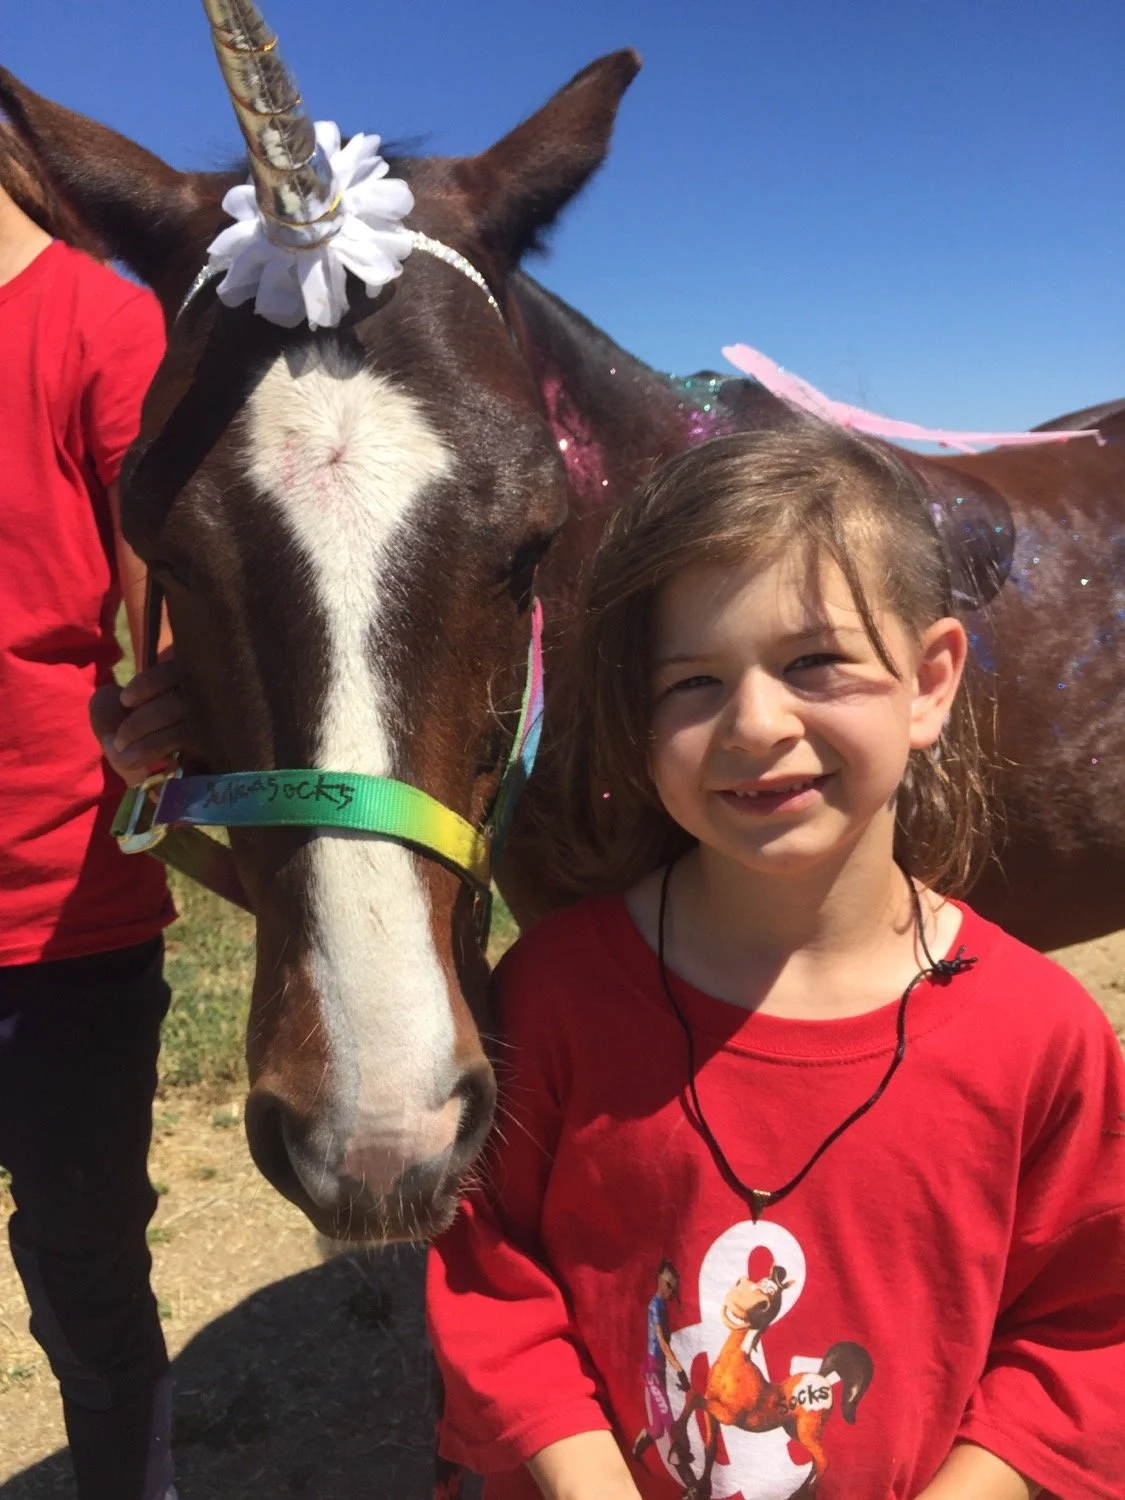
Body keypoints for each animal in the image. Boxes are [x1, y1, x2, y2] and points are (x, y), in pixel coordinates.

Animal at [664, 1276, 874, 1499]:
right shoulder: (711, 1413)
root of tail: (822, 1379)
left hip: (809, 1431)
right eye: (757, 1282)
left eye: (768, 1297)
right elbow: (710, 1447)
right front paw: (699, 1486)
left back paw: (805, 1493)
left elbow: (693, 1396)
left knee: (823, 1461)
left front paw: (679, 1451)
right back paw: (798, 1492)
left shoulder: (728, 1415)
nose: (738, 1288)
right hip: (794, 1430)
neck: (733, 1365)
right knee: (815, 1461)